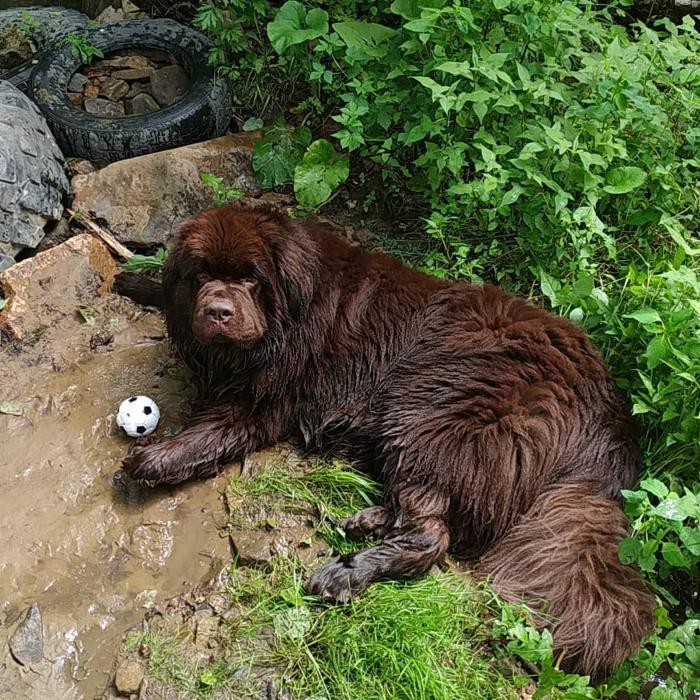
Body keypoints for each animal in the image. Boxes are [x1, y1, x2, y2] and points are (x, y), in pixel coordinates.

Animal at [121, 204, 656, 680]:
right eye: (200, 276)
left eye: (252, 279)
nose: (218, 311)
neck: (290, 314)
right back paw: (369, 522)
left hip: (428, 409)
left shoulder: (264, 400)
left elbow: (212, 430)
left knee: (432, 535)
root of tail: (608, 419)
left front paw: (154, 459)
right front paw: (134, 280)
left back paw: (346, 571)